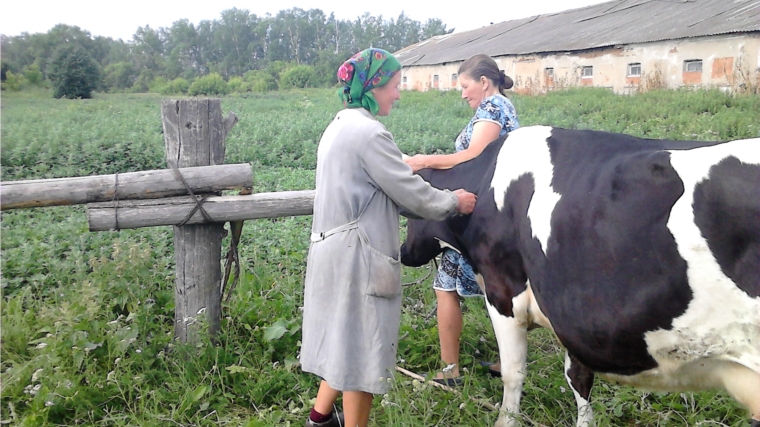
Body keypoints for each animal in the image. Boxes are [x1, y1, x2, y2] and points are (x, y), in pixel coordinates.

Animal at [400, 126, 756, 427]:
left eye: (412, 214)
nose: (402, 252)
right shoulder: (573, 313)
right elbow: (578, 377)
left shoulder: (504, 293)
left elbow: (513, 373)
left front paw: (505, 420)